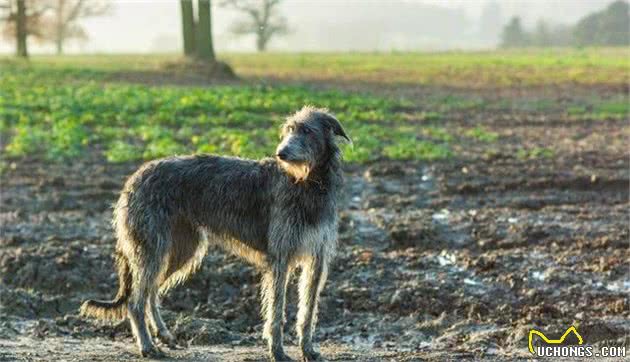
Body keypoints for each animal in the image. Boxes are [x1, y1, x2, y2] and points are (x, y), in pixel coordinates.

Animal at [80, 106, 350, 360]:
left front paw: (308, 350)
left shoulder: (317, 259)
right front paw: (277, 351)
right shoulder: (280, 258)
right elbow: (276, 311)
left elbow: (308, 311)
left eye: (307, 131)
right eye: (289, 130)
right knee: (136, 301)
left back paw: (164, 335)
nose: (280, 153)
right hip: (152, 247)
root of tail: (133, 178)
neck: (308, 183)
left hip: (182, 248)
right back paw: (147, 346)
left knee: (151, 292)